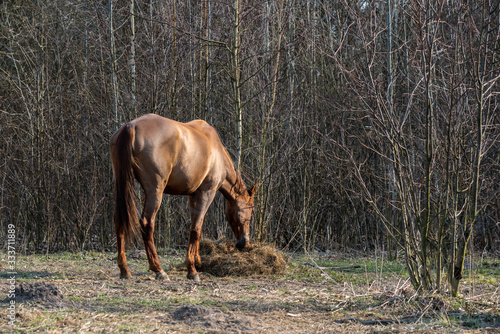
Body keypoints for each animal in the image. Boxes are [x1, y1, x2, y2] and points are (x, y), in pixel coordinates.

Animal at [111, 113, 256, 280]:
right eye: (250, 210)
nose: (244, 242)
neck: (217, 153)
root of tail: (131, 127)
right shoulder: (207, 192)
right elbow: (196, 229)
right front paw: (192, 269)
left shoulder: (193, 196)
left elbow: (197, 226)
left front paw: (197, 262)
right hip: (155, 191)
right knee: (147, 224)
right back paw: (158, 270)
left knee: (119, 221)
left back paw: (124, 270)